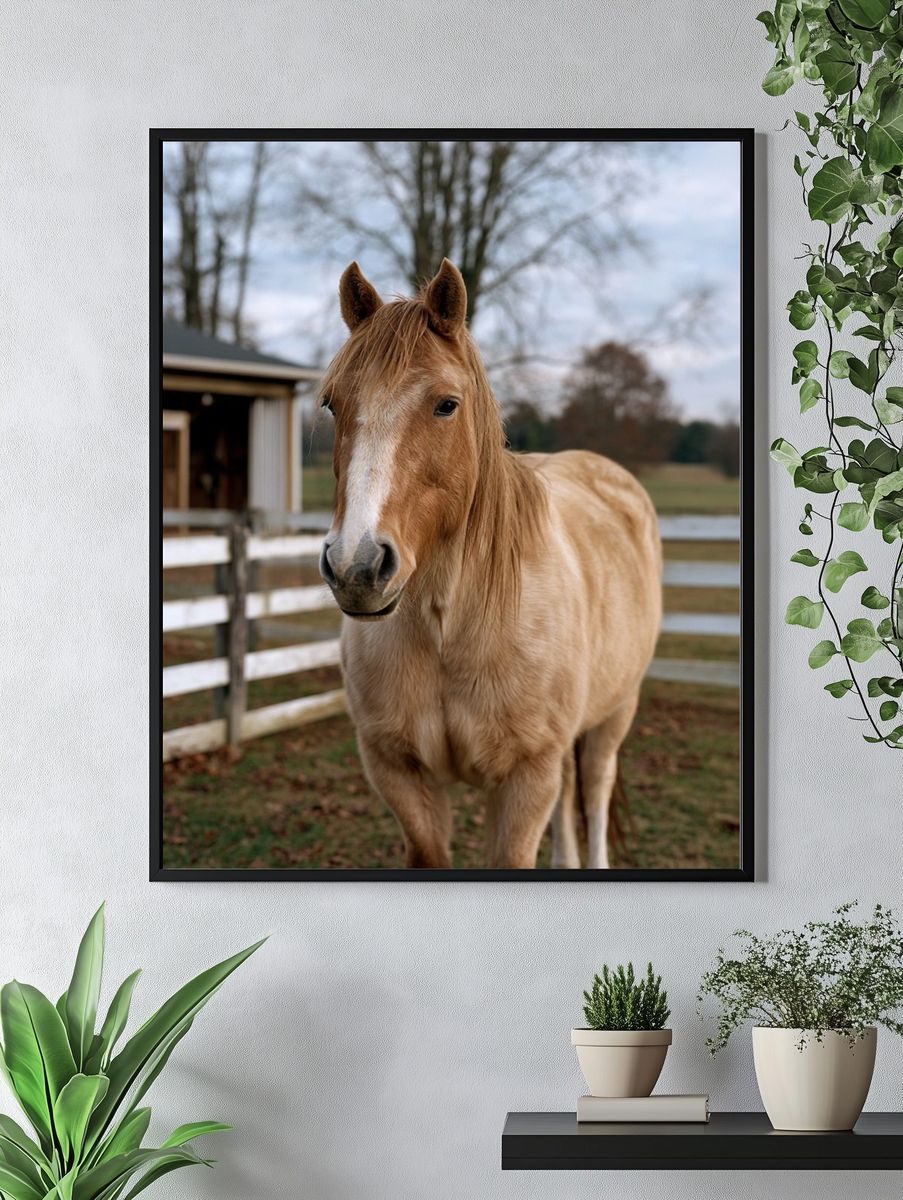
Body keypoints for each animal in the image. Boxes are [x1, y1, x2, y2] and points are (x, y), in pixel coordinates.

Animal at [318, 259, 662, 869]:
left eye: (446, 404)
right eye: (334, 403)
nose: (356, 567)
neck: (449, 627)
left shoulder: (526, 779)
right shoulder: (399, 774)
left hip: (614, 714)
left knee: (595, 792)